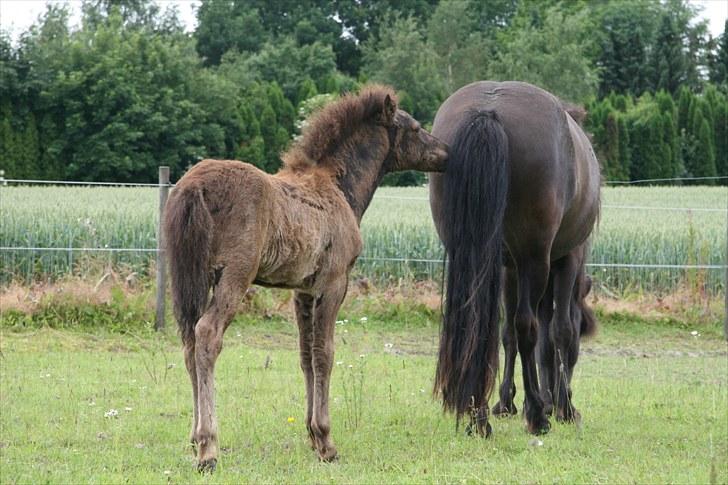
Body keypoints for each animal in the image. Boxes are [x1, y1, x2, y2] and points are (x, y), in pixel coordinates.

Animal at [430, 80, 600, 434]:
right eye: (582, 336)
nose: (556, 400)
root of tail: (489, 111)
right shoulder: (566, 260)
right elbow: (557, 330)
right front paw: (562, 407)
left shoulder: (508, 267)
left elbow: (509, 334)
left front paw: (507, 402)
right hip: (534, 260)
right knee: (527, 326)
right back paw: (536, 414)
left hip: (474, 255)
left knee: (483, 323)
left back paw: (478, 415)